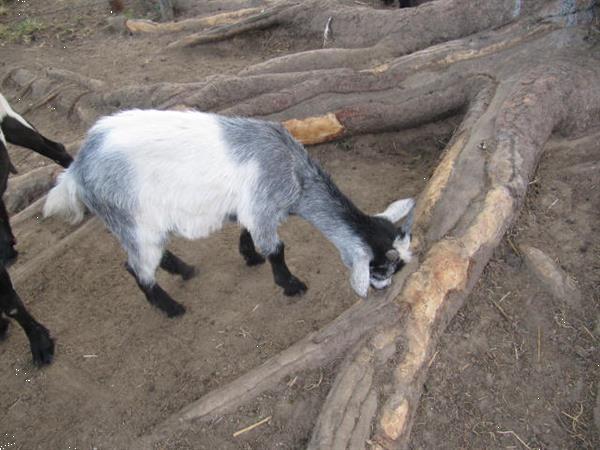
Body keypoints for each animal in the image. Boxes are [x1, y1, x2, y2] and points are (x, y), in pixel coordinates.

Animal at [44, 111, 414, 318]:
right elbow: (276, 249)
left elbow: (247, 232)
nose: (384, 287)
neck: (296, 174)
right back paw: (172, 308)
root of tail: (77, 170)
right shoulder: (264, 203)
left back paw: (184, 270)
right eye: (380, 267)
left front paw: (249, 256)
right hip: (131, 218)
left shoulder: (251, 206)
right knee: (137, 268)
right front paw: (291, 284)